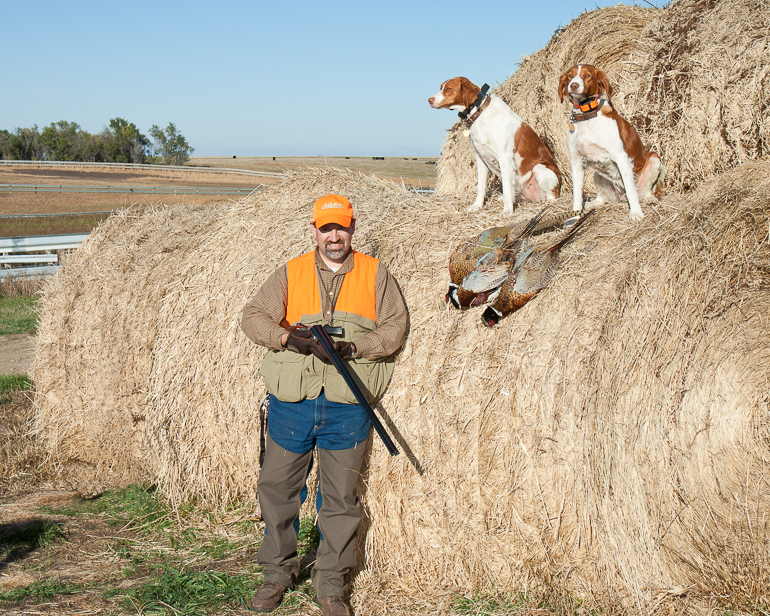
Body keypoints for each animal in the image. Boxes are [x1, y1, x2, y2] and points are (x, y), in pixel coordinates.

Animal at [426, 77, 560, 217]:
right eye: (441, 87)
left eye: (448, 89)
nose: (429, 100)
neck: (480, 113)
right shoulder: (480, 158)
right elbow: (481, 187)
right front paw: (477, 206)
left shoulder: (505, 158)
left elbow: (506, 188)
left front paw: (507, 211)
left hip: (540, 168)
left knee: (552, 197)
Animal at [560, 64, 660, 221]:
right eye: (570, 75)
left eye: (587, 75)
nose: (573, 85)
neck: (587, 117)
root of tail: (621, 197)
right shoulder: (576, 162)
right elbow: (577, 193)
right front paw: (573, 217)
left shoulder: (621, 156)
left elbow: (630, 189)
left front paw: (636, 212)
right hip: (597, 174)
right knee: (602, 198)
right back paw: (593, 203)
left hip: (655, 159)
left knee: (646, 192)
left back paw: (649, 198)